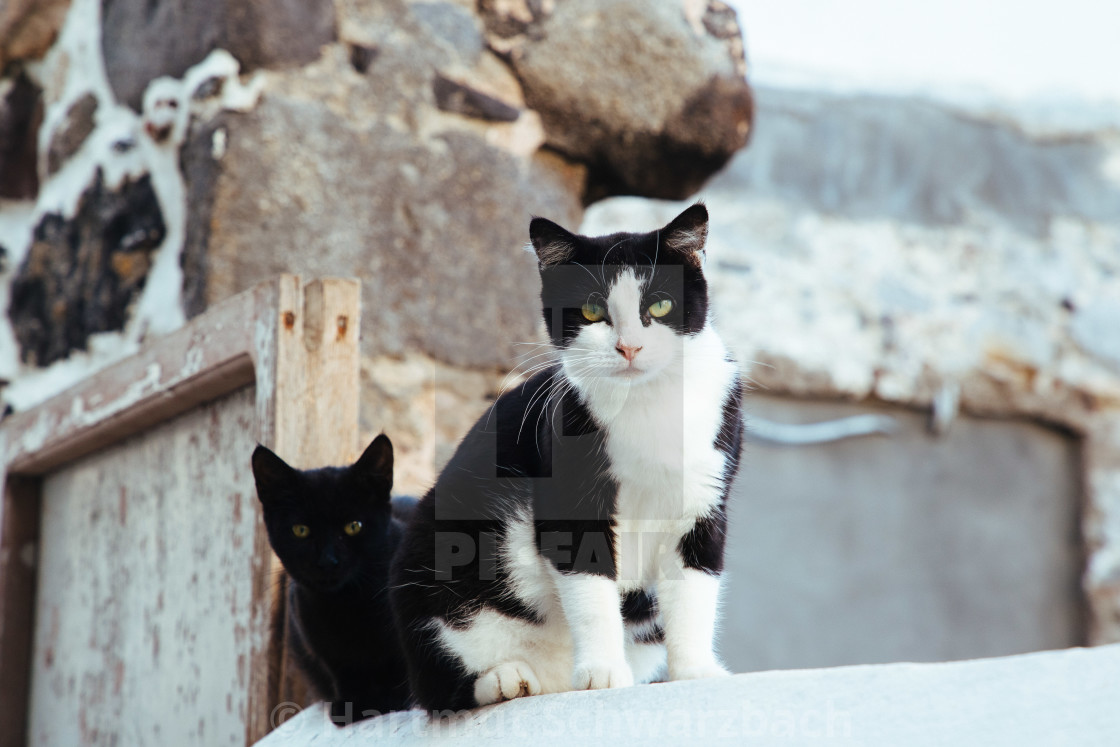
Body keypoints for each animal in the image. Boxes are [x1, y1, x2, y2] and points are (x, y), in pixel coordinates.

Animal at [252, 434, 414, 725]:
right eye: (301, 530)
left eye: (354, 526)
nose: (327, 561)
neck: (349, 605)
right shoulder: (314, 634)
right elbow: (342, 668)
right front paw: (352, 707)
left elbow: (401, 661)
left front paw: (395, 700)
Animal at [389, 204, 739, 712]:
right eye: (592, 310)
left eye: (659, 306)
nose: (629, 346)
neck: (646, 407)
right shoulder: (571, 497)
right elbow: (591, 592)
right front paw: (603, 675)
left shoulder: (704, 499)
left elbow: (694, 588)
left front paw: (696, 672)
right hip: (427, 552)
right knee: (439, 687)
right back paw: (506, 679)